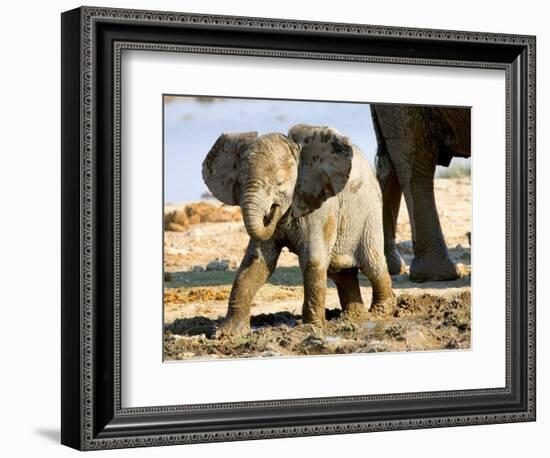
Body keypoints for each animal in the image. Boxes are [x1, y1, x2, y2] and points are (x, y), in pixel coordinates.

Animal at [203, 123, 396, 334]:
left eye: (280, 184)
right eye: (241, 182)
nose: (272, 211)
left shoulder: (320, 205)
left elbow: (313, 260)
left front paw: (310, 329)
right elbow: (256, 262)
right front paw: (227, 333)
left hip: (370, 213)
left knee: (372, 265)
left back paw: (380, 313)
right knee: (341, 273)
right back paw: (354, 317)